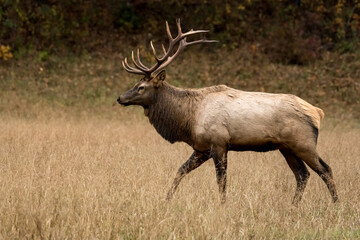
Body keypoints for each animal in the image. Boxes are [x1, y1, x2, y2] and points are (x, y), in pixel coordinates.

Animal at [117, 19, 338, 205]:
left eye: (141, 87)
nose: (120, 98)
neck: (188, 120)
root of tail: (317, 112)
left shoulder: (219, 143)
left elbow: (221, 180)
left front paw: (223, 205)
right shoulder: (201, 148)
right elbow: (180, 171)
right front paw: (166, 199)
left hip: (303, 143)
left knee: (325, 169)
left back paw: (336, 204)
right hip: (286, 147)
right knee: (302, 175)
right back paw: (293, 205)